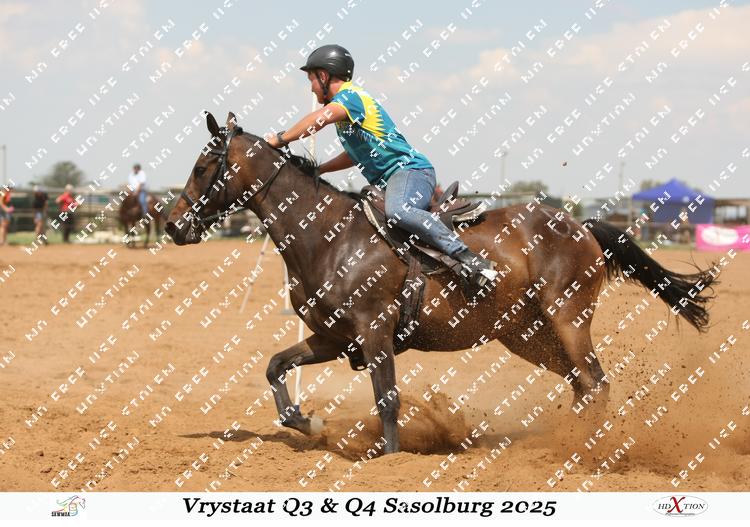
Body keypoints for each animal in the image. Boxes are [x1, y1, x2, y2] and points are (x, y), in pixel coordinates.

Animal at [165, 112, 716, 454]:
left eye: (202, 166)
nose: (171, 225)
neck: (329, 237)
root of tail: (580, 226)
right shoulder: (333, 337)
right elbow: (276, 366)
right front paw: (309, 422)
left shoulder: (375, 331)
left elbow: (387, 400)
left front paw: (387, 458)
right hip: (528, 335)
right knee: (582, 386)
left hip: (568, 318)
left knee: (597, 383)